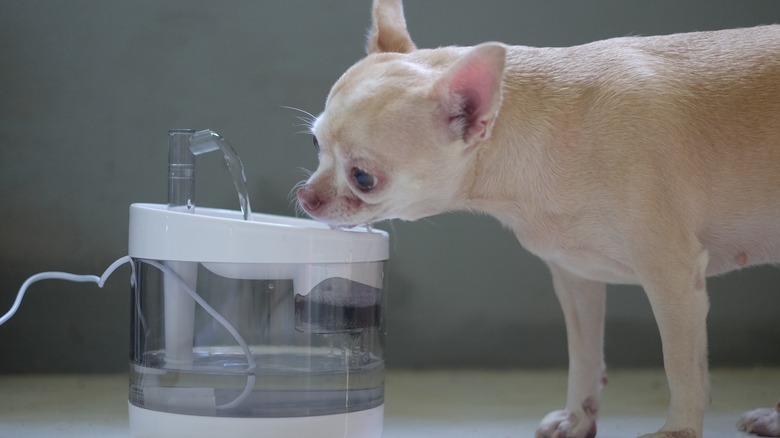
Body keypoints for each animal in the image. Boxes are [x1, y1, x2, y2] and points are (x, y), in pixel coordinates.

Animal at [296, 1, 776, 436]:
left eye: (363, 177)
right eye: (315, 144)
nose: (306, 197)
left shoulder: (672, 277)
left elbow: (682, 367)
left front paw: (678, 431)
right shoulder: (576, 277)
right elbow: (584, 357)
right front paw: (578, 419)